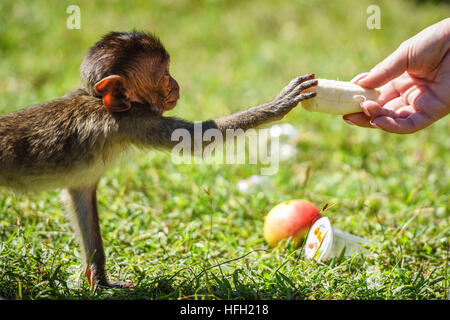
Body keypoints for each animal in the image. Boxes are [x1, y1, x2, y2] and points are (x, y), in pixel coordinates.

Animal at [0, 31, 316, 288]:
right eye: (164, 74)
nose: (176, 84)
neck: (102, 103)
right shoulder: (136, 121)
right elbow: (197, 138)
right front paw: (276, 104)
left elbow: (81, 196)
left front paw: (99, 279)